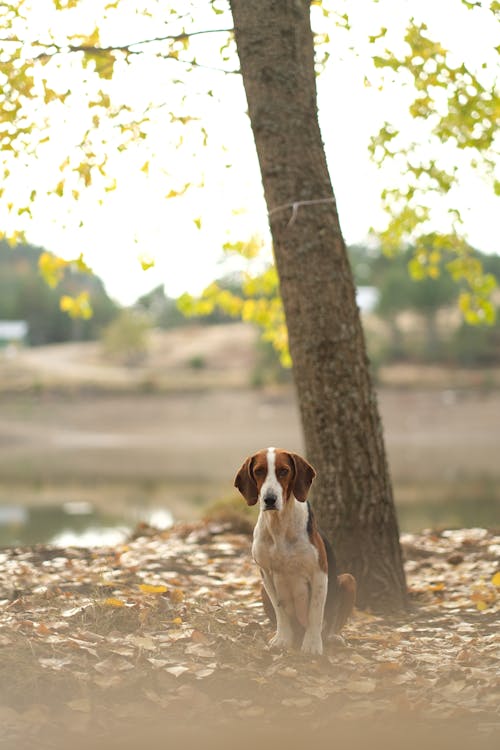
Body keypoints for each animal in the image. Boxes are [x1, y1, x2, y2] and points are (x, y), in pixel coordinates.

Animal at [234, 450, 356, 656]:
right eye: (259, 471)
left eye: (284, 471)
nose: (269, 499)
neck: (279, 524)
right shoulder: (266, 575)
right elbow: (280, 612)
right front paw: (282, 639)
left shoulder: (319, 574)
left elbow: (315, 612)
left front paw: (312, 644)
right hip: (262, 590)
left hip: (348, 579)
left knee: (330, 624)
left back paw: (332, 637)